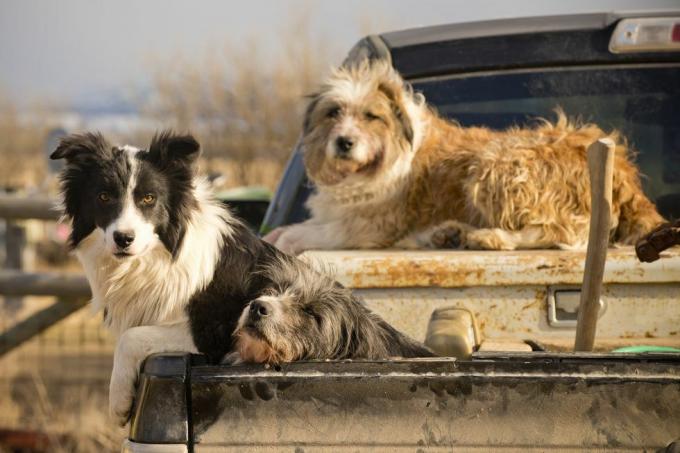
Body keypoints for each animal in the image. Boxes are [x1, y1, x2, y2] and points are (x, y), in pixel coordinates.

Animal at [266, 59, 664, 254]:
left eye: (370, 116)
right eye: (333, 112)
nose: (344, 142)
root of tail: (623, 172)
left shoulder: (372, 225)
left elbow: (312, 233)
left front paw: (287, 241)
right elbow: (292, 228)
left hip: (496, 165)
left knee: (567, 234)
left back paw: (491, 238)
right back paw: (450, 234)